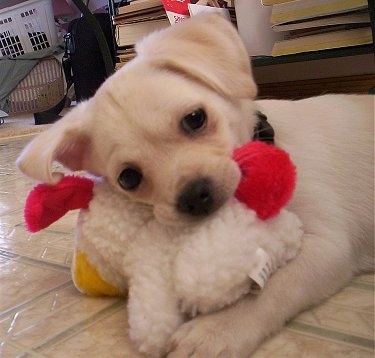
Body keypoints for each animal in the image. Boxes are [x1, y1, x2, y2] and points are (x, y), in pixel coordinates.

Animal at [16, 13, 374, 358]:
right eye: (129, 178)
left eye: (195, 118)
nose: (196, 196)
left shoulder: (328, 246)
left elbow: (271, 288)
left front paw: (216, 329)